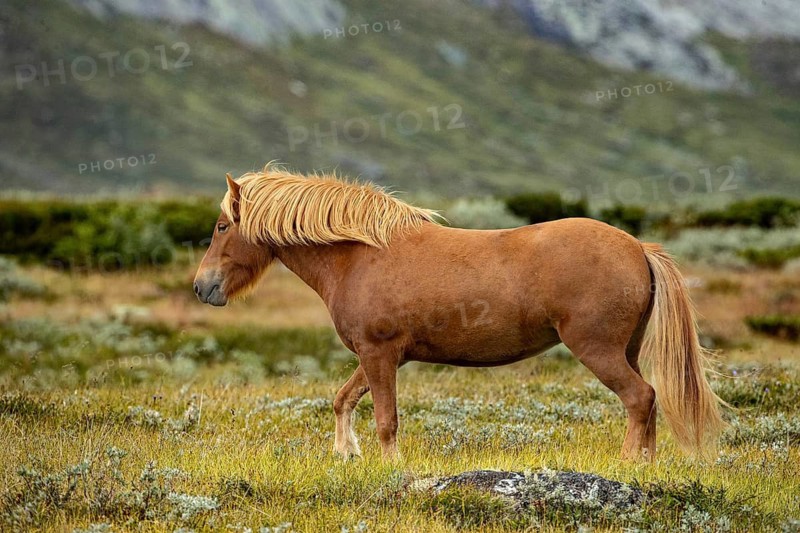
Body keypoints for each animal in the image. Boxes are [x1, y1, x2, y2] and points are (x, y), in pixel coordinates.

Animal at [193, 166, 725, 461]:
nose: (203, 286)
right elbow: (343, 400)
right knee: (647, 402)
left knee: (640, 397)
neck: (359, 255)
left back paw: (627, 464)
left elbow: (386, 420)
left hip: (598, 351)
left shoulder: (379, 355)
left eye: (221, 226)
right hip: (625, 350)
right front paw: (347, 453)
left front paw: (390, 469)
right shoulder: (378, 356)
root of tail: (638, 247)